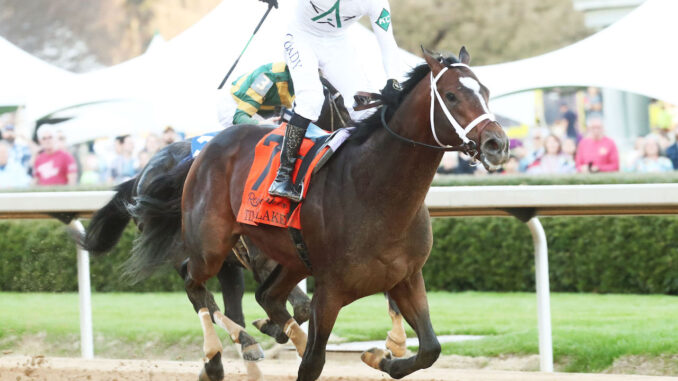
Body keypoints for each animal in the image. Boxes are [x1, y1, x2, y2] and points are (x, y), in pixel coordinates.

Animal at [123, 48, 510, 380]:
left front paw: (381, 356)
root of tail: (201, 151)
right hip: (211, 246)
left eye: (485, 91)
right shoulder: (331, 289)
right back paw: (221, 356)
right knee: (195, 285)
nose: (498, 144)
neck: (376, 190)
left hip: (290, 259)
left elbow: (430, 348)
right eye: (452, 95)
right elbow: (313, 362)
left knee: (265, 296)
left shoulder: (407, 277)